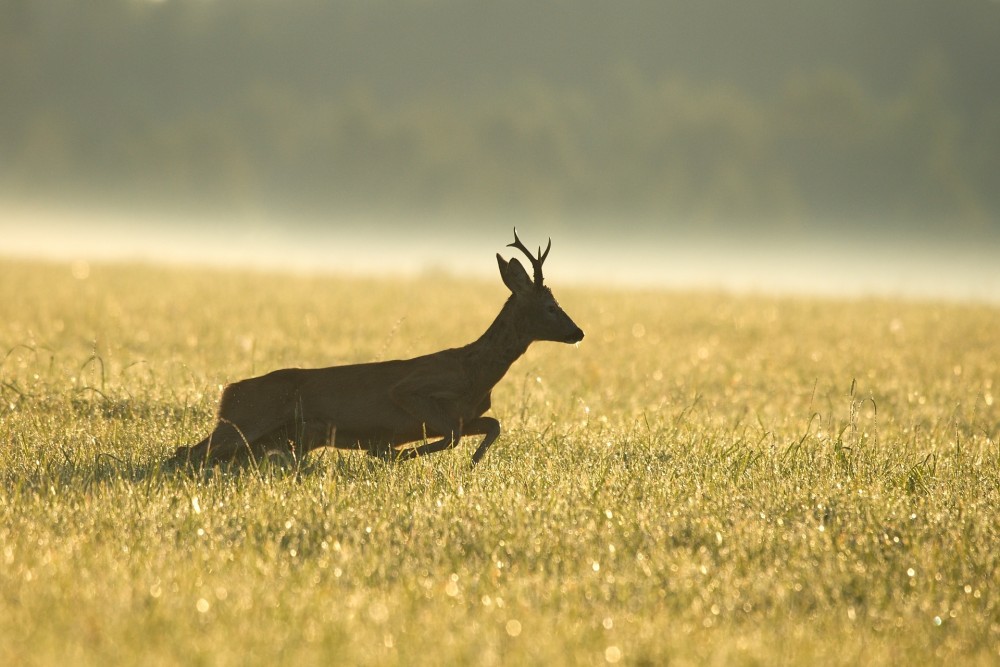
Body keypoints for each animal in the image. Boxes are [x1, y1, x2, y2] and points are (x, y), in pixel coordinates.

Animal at [168, 230, 584, 470]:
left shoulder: (470, 413)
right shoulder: (411, 388)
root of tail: (228, 391)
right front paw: (391, 454)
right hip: (248, 419)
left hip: (271, 437)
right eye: (550, 306)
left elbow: (491, 425)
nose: (578, 332)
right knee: (188, 451)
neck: (475, 375)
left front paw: (473, 460)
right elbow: (447, 435)